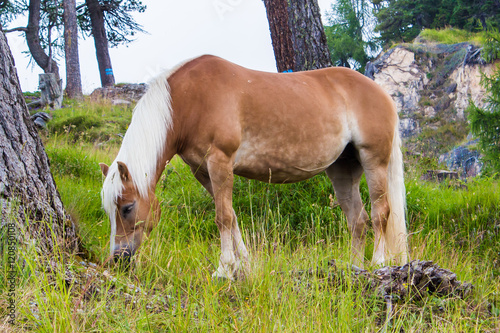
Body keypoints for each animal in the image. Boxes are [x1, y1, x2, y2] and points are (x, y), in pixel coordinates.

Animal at [99, 54, 408, 278]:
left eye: (127, 207)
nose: (118, 258)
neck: (189, 100)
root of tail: (381, 93)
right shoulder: (203, 171)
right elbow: (232, 216)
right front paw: (244, 265)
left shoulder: (220, 161)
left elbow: (223, 217)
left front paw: (224, 269)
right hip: (343, 169)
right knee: (358, 220)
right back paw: (353, 268)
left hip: (374, 161)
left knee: (380, 213)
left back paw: (378, 264)